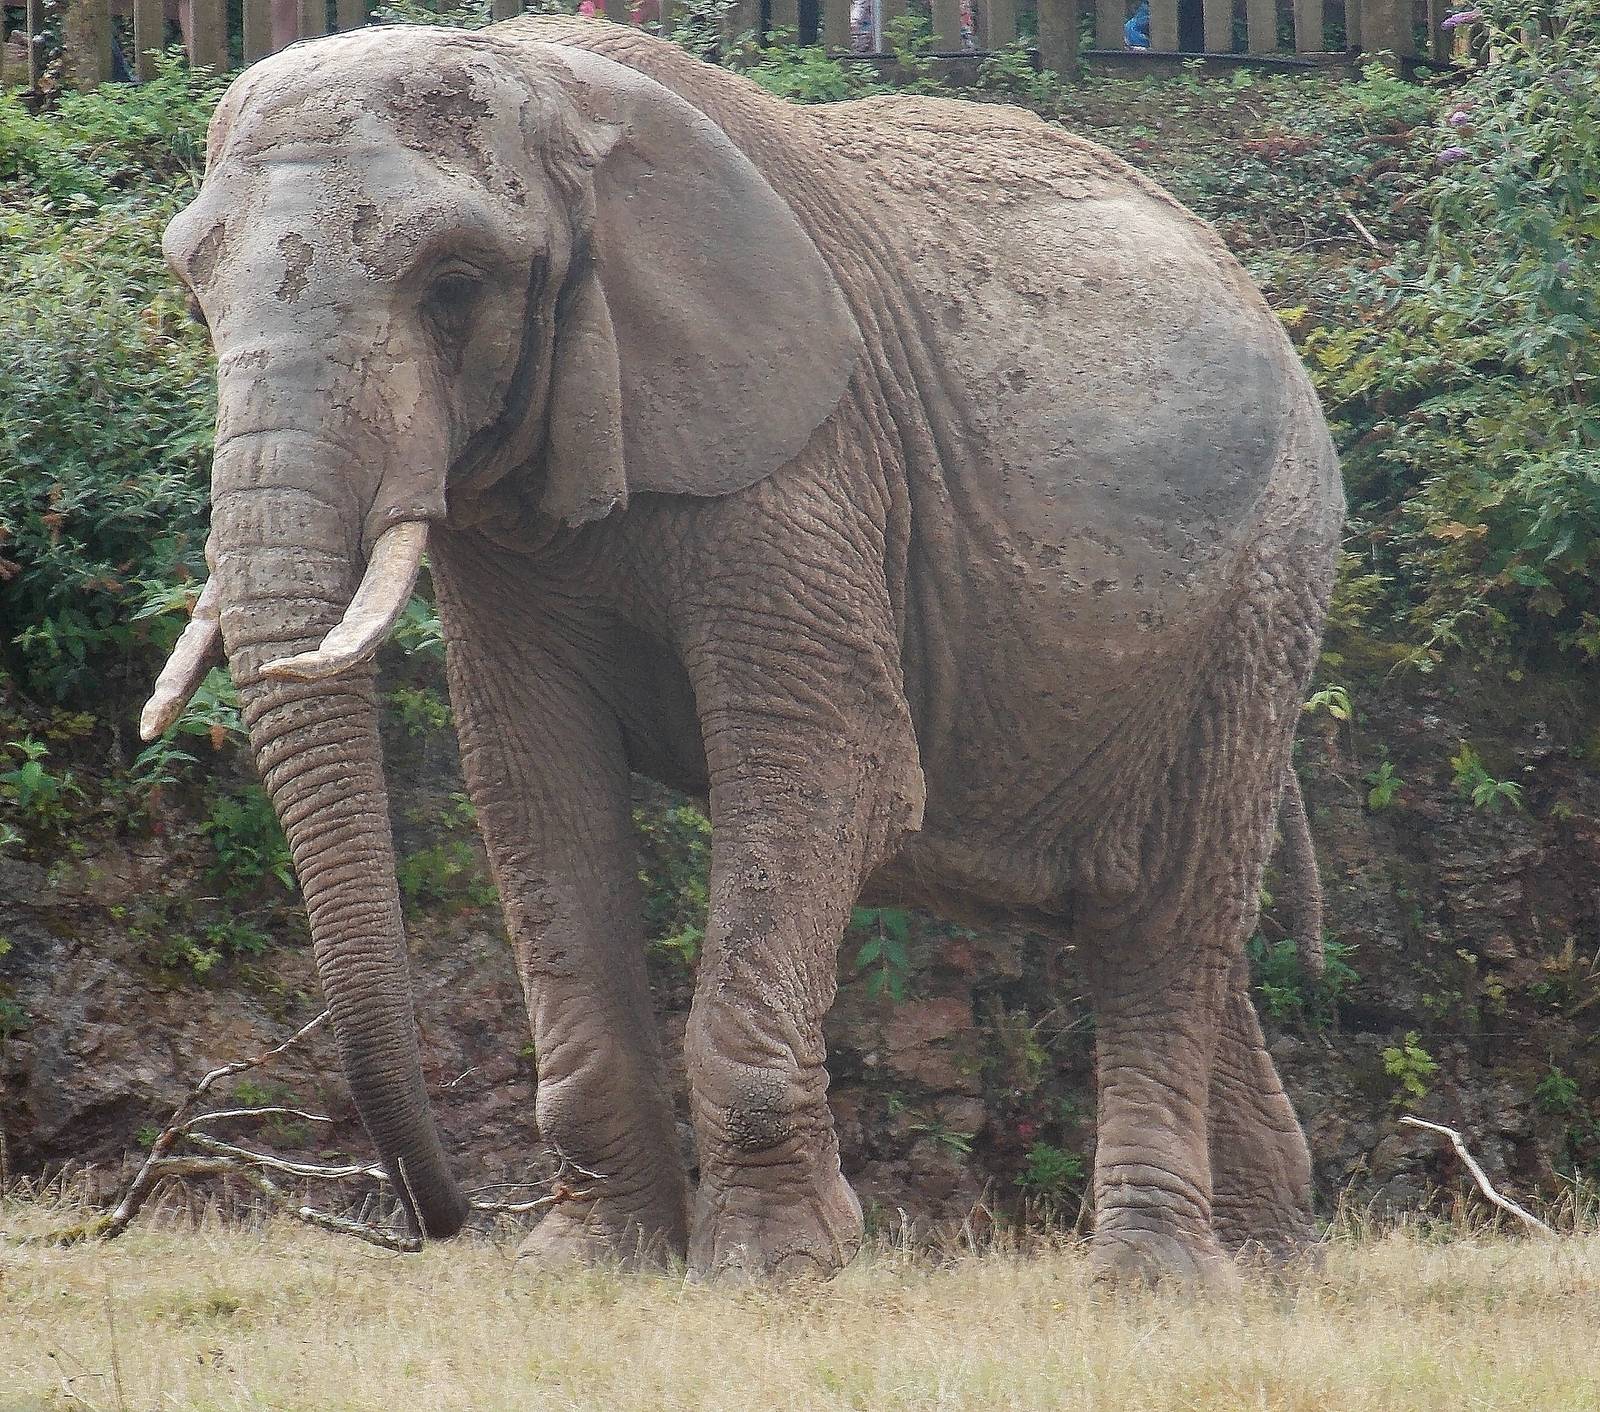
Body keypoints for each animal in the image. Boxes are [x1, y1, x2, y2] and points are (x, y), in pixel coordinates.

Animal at [139, 15, 1344, 1285]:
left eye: (454, 287)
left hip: (1269, 571)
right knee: (1141, 913)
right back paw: (1262, 1276)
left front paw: (776, 1265)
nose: (444, 1215)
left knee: (1167, 920)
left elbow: (824, 763)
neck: (548, 88)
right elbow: (535, 789)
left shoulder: (809, 457)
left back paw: (1149, 1280)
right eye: (194, 292)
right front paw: (587, 1263)